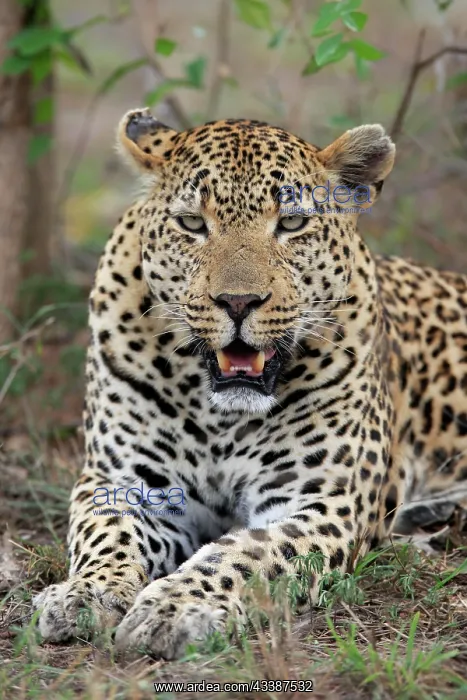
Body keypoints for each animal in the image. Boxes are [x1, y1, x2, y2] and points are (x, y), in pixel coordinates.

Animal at [33, 108, 467, 660]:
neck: (220, 412)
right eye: (192, 224)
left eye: (292, 223)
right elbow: (107, 534)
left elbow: (248, 554)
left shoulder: (321, 501)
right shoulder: (121, 481)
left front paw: (175, 607)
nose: (238, 302)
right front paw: (83, 593)